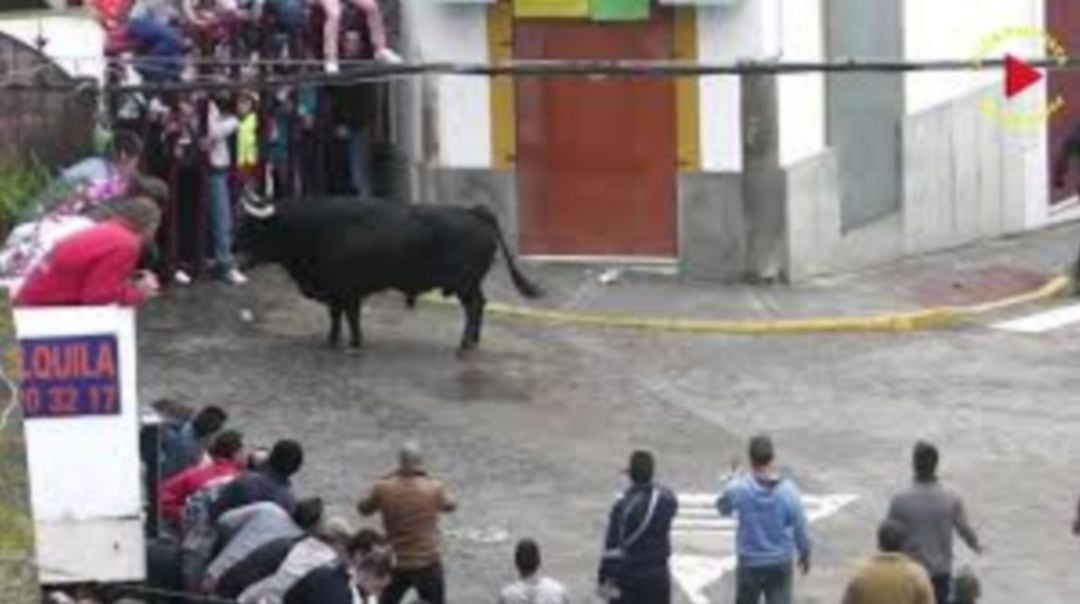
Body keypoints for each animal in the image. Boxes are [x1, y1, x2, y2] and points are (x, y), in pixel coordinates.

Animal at [236, 196, 540, 352]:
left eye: (252, 227)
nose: (233, 248)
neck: (313, 228)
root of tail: (475, 212)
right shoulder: (336, 291)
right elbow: (335, 316)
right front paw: (332, 340)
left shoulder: (348, 290)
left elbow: (350, 316)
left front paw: (354, 343)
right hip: (470, 284)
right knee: (480, 306)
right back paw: (473, 340)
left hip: (465, 284)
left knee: (474, 307)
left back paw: (465, 345)